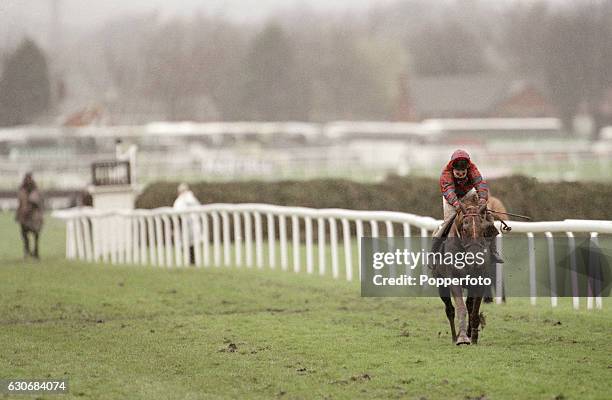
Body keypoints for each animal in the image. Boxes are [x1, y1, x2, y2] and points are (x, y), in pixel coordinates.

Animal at [432, 194, 494, 344]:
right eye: (464, 229)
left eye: (483, 229)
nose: (476, 258)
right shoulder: (453, 280)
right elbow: (460, 307)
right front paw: (462, 338)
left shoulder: (480, 281)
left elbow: (474, 310)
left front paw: (473, 337)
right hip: (441, 284)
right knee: (449, 309)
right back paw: (455, 337)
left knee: (469, 305)